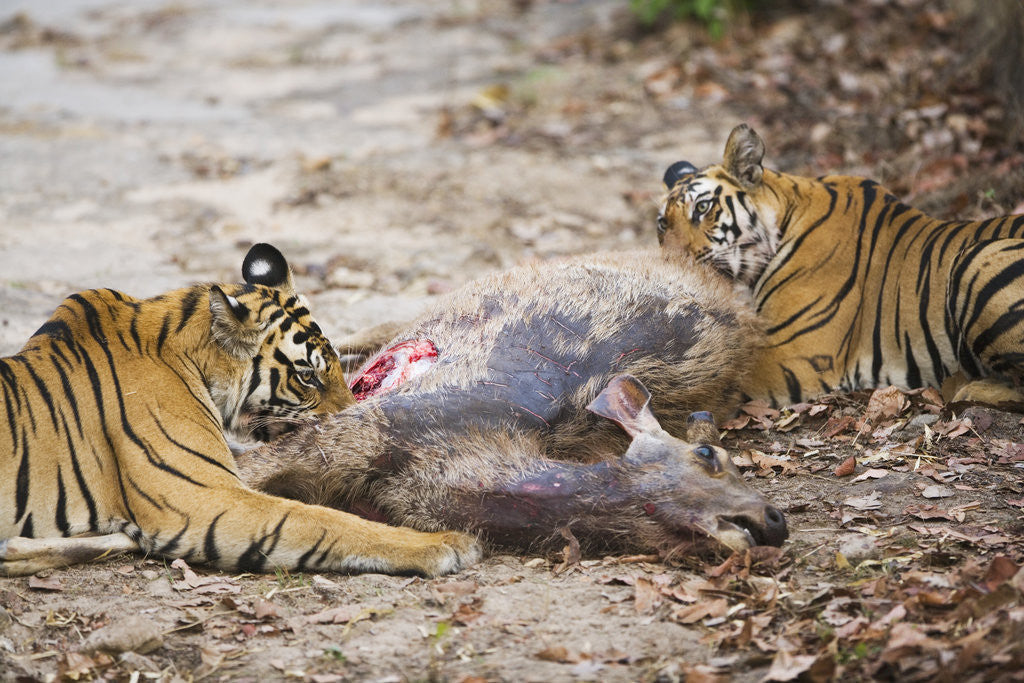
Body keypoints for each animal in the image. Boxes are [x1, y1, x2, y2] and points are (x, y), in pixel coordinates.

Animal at [657, 123, 1024, 407]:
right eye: (662, 223)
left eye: (702, 207)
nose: (670, 262)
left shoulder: (792, 354)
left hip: (976, 258)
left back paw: (967, 389)